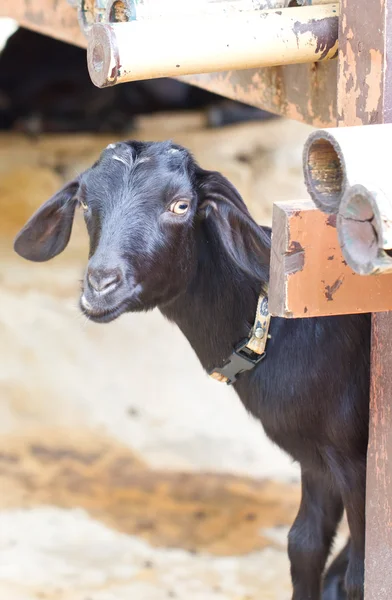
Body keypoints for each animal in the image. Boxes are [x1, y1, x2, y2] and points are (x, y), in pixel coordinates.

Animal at [14, 142, 370, 600]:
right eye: (85, 202)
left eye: (181, 205)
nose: (100, 284)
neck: (278, 329)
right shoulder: (315, 458)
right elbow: (303, 545)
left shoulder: (356, 458)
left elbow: (361, 573)